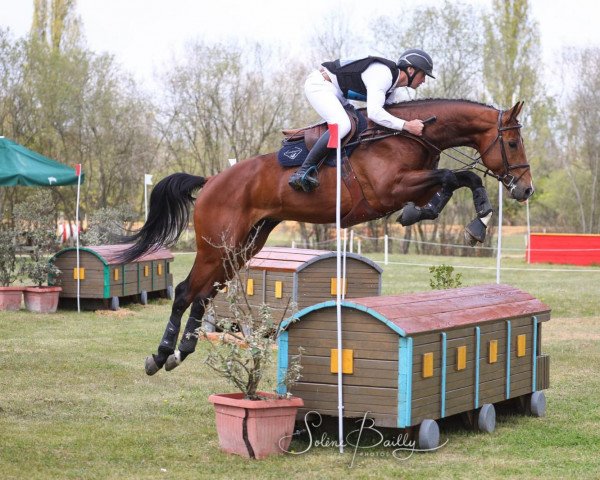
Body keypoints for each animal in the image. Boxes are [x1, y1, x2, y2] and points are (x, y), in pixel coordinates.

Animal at [119, 98, 532, 376]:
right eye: (512, 143)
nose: (525, 189)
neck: (405, 133)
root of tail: (210, 181)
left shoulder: (413, 186)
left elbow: (453, 182)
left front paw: (446, 217)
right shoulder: (390, 189)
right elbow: (458, 176)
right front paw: (476, 220)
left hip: (243, 247)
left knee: (204, 294)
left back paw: (181, 351)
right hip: (215, 246)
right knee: (186, 291)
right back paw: (161, 355)